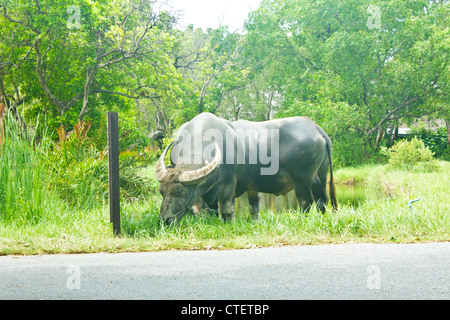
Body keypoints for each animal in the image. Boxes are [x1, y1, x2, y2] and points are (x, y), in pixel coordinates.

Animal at [156, 112, 336, 225]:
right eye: (161, 192)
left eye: (180, 191)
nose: (166, 220)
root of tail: (314, 127)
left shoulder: (229, 183)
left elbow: (226, 209)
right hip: (320, 177)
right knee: (322, 200)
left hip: (301, 179)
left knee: (306, 201)